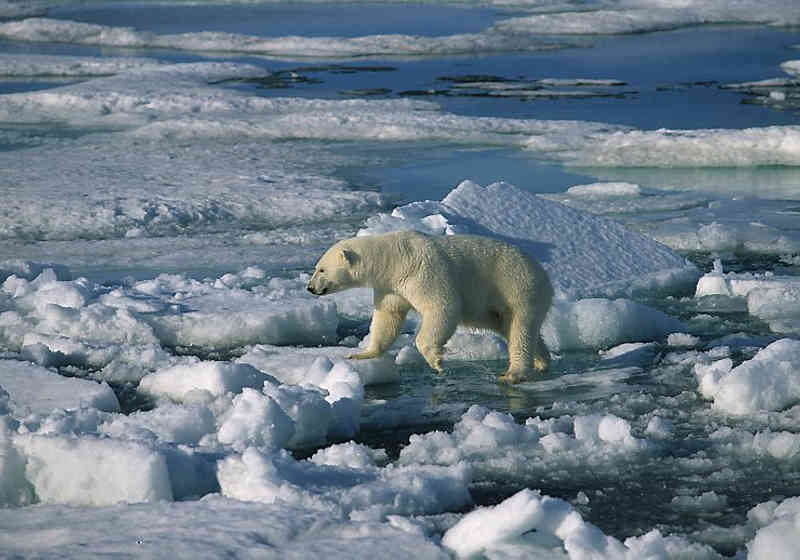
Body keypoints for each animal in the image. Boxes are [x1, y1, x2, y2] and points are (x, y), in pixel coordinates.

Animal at [310, 230, 552, 382]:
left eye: (321, 269)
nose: (310, 288)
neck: (393, 258)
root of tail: (546, 277)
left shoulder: (420, 269)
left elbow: (443, 306)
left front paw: (436, 361)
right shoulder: (390, 286)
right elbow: (388, 316)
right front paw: (363, 354)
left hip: (519, 289)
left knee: (520, 329)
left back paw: (513, 374)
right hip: (497, 308)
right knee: (513, 329)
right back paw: (542, 361)